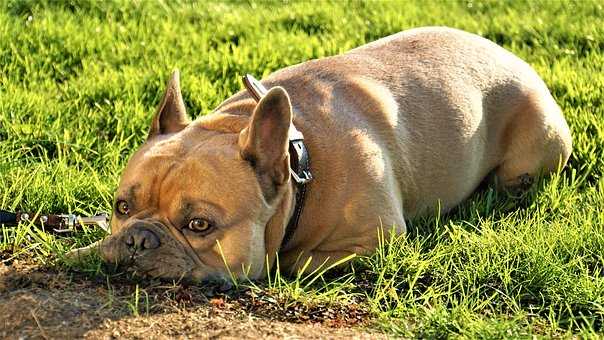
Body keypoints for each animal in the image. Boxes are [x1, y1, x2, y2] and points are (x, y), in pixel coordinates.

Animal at [68, 26, 572, 282]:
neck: (299, 163)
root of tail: (513, 57)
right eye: (122, 207)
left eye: (199, 226)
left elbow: (295, 261)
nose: (138, 239)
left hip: (532, 151)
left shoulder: (376, 239)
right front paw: (92, 244)